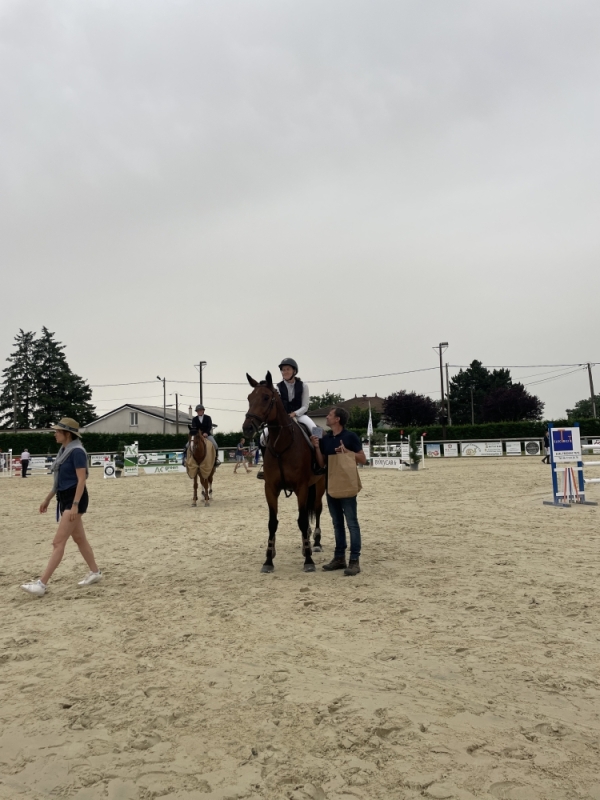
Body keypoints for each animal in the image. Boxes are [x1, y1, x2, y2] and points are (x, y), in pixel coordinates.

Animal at [243, 372, 326, 572]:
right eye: (249, 398)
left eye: (266, 397)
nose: (247, 428)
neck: (282, 445)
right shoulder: (271, 488)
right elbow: (272, 523)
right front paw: (268, 559)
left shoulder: (302, 487)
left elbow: (302, 520)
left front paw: (309, 561)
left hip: (319, 485)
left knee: (317, 510)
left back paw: (316, 543)